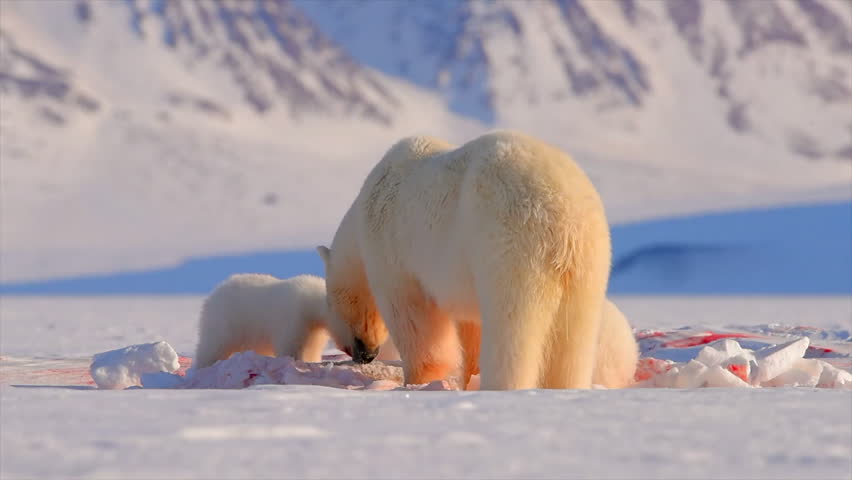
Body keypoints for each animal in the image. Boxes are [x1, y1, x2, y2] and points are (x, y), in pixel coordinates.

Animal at [193, 273, 349, 369]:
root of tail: (213, 294)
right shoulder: (294, 317)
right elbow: (289, 347)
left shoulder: (313, 329)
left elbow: (312, 349)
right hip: (226, 320)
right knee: (213, 346)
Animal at [317, 130, 611, 390]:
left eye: (330, 302)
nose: (364, 354)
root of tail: (563, 211)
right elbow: (471, 326)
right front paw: (468, 376)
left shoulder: (393, 250)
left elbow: (415, 319)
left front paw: (417, 380)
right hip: (587, 262)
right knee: (574, 341)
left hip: (510, 246)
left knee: (512, 330)